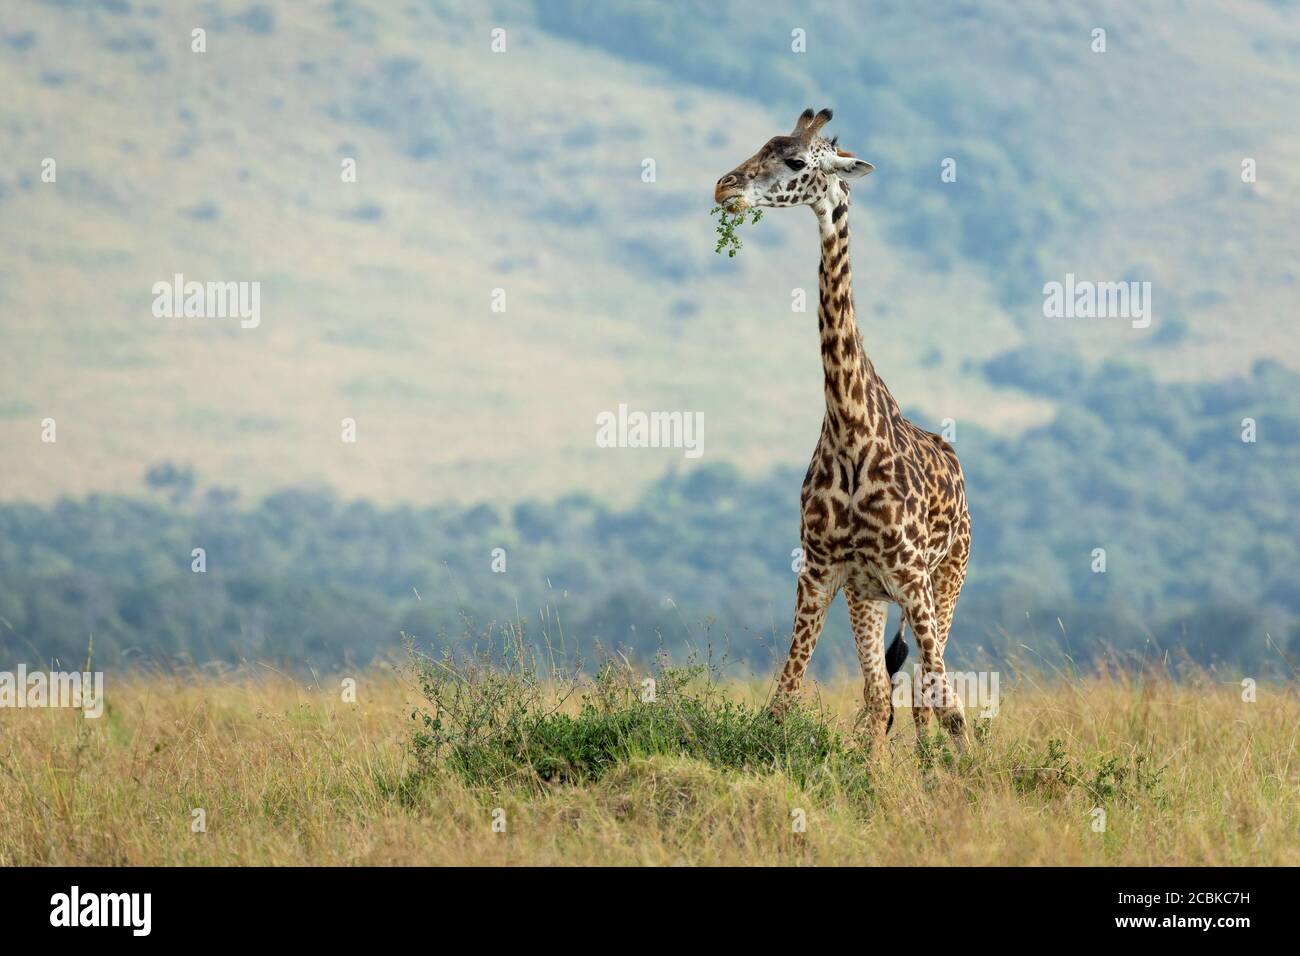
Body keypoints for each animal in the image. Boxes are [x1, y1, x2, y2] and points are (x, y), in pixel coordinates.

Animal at [717, 110, 972, 749]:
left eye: (795, 160)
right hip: (869, 595)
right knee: (884, 698)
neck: (851, 430)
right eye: (761, 145)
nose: (723, 188)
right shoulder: (820, 571)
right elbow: (784, 700)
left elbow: (952, 708)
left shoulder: (912, 575)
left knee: (928, 693)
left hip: (947, 577)